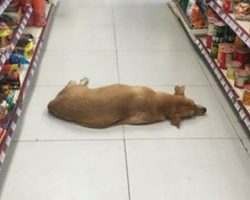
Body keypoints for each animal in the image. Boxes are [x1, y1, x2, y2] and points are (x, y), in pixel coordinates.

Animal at [47, 78, 207, 128]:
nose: (205, 109)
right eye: (191, 115)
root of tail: (52, 104)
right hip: (77, 88)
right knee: (73, 81)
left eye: (194, 103)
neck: (162, 103)